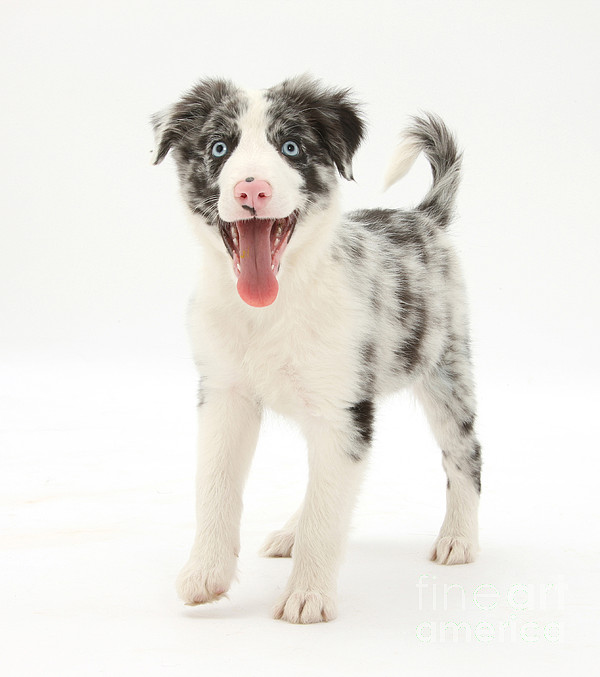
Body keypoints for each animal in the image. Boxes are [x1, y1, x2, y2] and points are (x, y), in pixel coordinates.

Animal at [151, 75, 482, 624]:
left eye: (291, 148)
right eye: (219, 148)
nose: (252, 188)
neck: (271, 309)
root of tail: (424, 217)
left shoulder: (342, 412)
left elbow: (327, 512)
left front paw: (308, 593)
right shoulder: (223, 395)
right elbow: (215, 486)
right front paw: (207, 572)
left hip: (445, 370)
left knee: (464, 454)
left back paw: (459, 538)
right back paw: (291, 530)